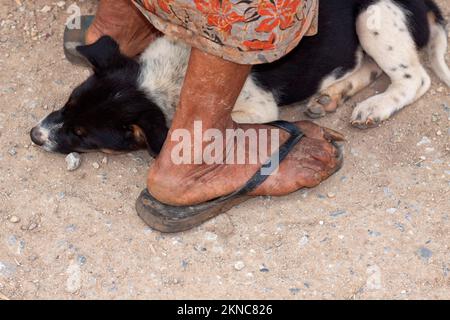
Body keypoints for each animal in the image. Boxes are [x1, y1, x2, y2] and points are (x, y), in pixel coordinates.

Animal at [29, 0, 448, 156]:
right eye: (67, 104)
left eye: (83, 134)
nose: (34, 135)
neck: (165, 80)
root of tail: (424, 3)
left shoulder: (258, 109)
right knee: (368, 66)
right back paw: (332, 95)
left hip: (374, 16)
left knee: (415, 79)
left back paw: (374, 107)